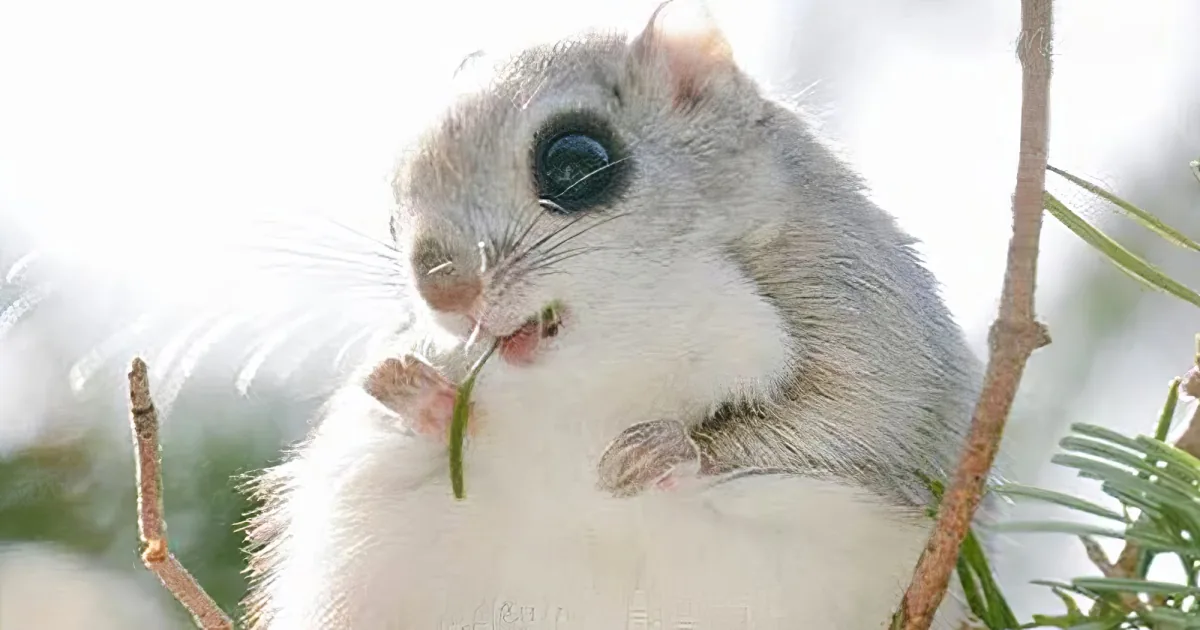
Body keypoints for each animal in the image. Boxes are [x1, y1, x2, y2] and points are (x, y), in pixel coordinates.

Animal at [243, 2, 988, 628]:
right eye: (395, 198)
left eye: (575, 160)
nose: (442, 292)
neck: (596, 367)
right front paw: (409, 384)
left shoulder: (868, 319)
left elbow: (847, 417)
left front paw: (663, 450)